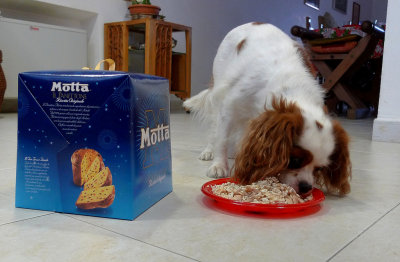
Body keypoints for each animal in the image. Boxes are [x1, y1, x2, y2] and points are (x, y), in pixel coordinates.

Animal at [184, 22, 350, 195]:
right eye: (295, 160)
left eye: (319, 168)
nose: (306, 187)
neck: (290, 87)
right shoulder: (229, 107)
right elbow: (222, 138)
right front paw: (219, 165)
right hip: (219, 86)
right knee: (214, 127)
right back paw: (209, 150)